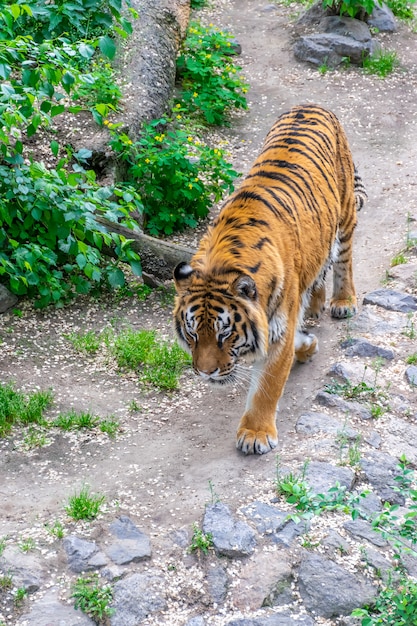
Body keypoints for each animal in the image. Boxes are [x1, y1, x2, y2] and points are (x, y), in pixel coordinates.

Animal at [172, 102, 364, 454]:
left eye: (224, 334)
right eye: (192, 333)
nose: (206, 374)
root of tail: (311, 104)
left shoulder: (278, 327)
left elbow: (268, 384)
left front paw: (255, 434)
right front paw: (308, 343)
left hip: (344, 210)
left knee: (343, 258)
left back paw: (342, 302)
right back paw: (314, 305)